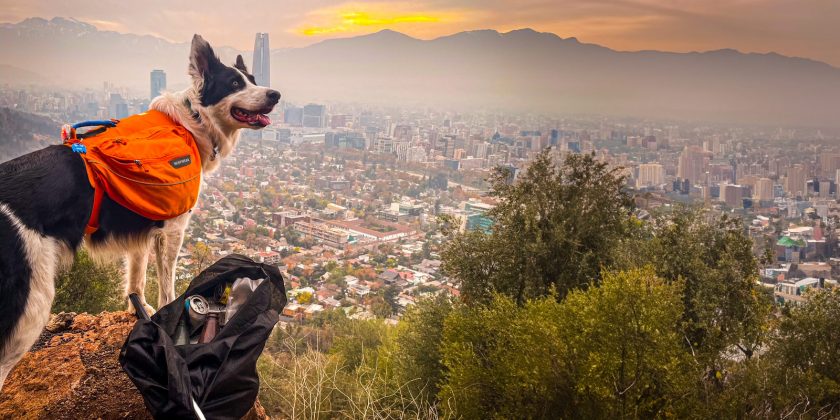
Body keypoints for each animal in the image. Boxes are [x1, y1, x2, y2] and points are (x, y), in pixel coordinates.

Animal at [0, 33, 282, 390]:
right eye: (234, 83)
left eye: (254, 80)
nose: (275, 94)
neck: (192, 122)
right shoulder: (172, 230)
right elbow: (168, 286)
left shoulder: (142, 229)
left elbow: (136, 277)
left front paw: (140, 310)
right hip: (30, 306)